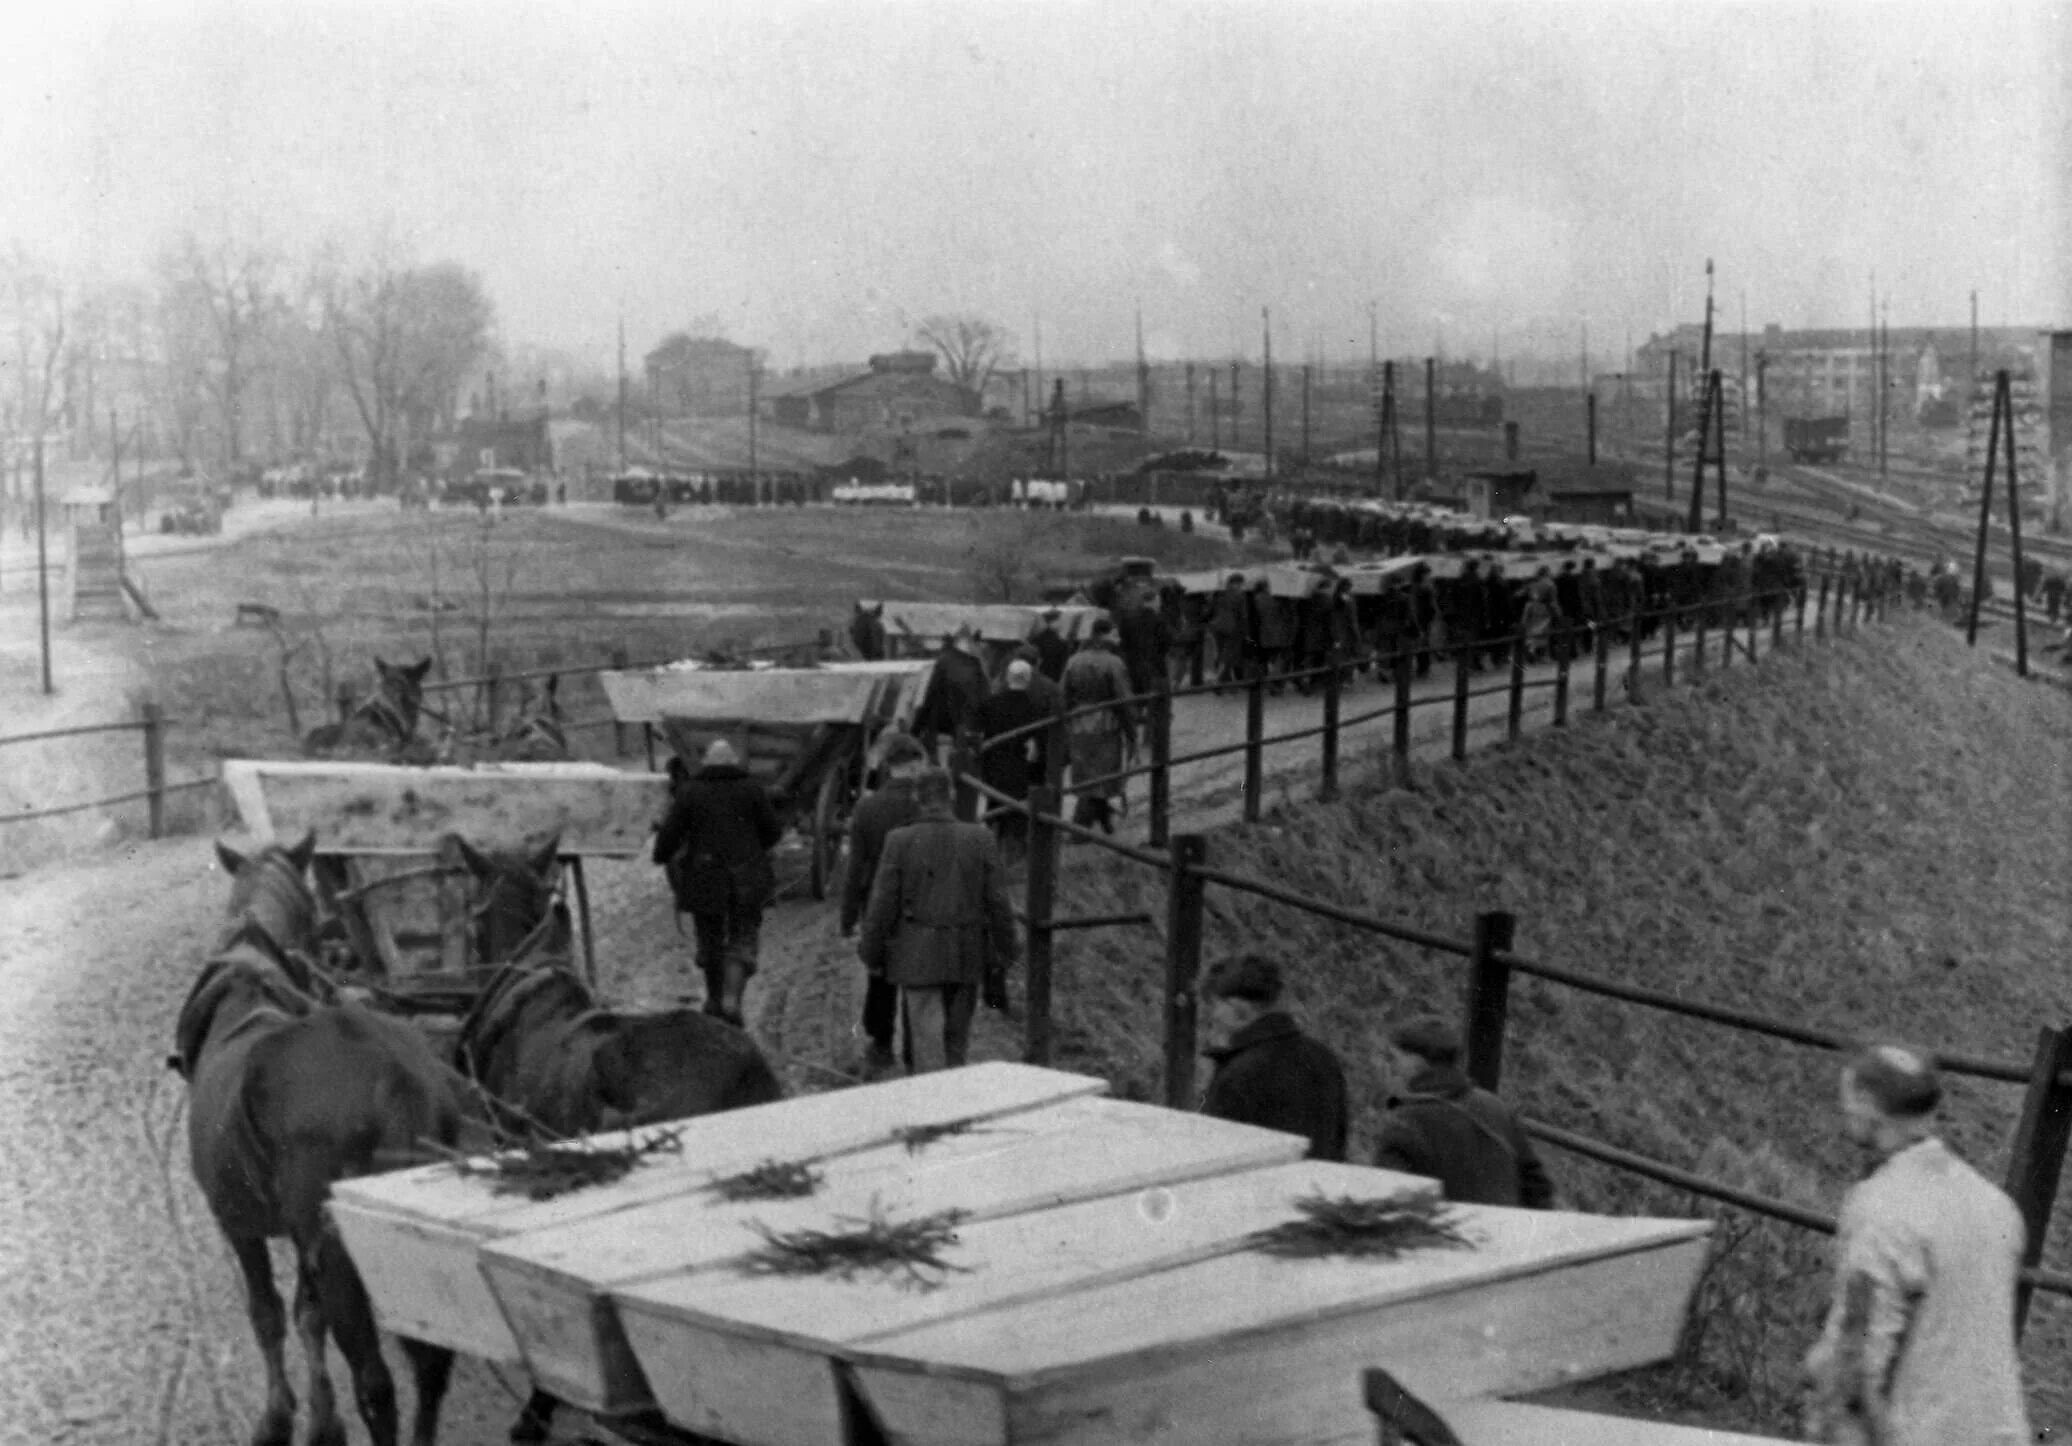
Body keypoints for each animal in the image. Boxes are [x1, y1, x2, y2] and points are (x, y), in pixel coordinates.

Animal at [179, 832, 466, 1441]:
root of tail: (394, 1074)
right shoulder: (294, 1231)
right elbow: (305, 1316)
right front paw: (320, 1417)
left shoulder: (237, 1224)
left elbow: (267, 1314)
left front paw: (279, 1415)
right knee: (432, 1366)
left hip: (335, 1251)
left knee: (376, 1381)